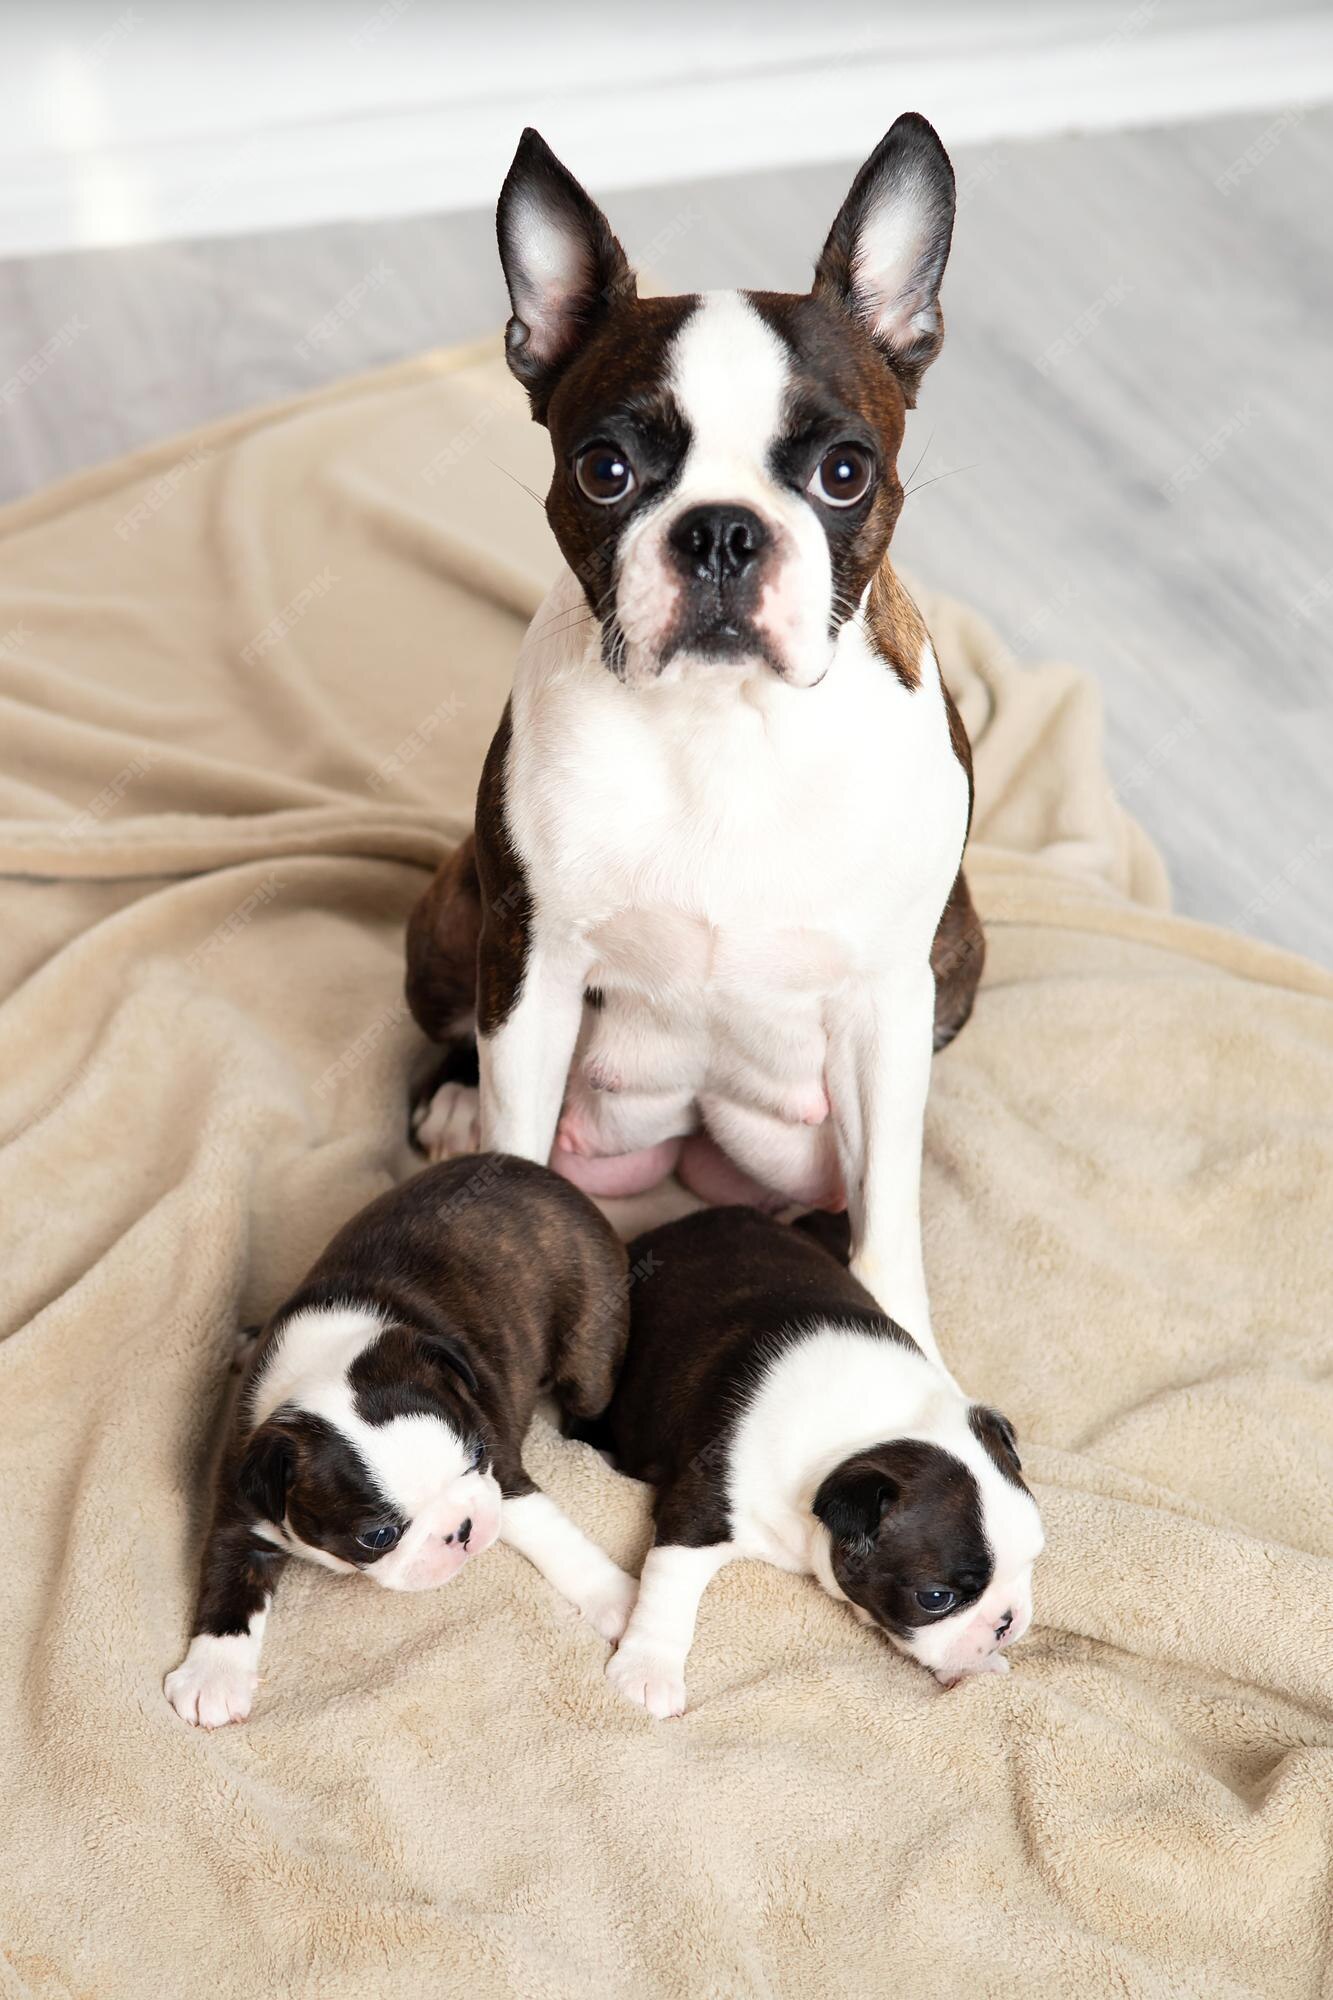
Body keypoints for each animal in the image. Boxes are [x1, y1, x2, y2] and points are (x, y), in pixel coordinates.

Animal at [165, 1152, 632, 1728]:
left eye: (479, 1454)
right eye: (378, 1536)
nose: (463, 1529)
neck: (318, 1371)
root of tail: (530, 1167)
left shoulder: (503, 1474)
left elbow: (558, 1541)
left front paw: (620, 1600)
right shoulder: (242, 1499)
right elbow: (229, 1582)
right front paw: (213, 1674)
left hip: (591, 1337)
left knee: (590, 1392)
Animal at [410, 113, 980, 1376]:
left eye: (844, 472)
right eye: (605, 469)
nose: (720, 531)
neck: (727, 726)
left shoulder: (888, 994)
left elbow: (890, 1211)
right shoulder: (532, 956)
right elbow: (518, 1133)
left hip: (957, 958)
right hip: (455, 912)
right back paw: (454, 1103)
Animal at [592, 1200, 1040, 1720]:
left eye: (1033, 1559)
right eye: (935, 1599)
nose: (1007, 1622)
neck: (873, 1428)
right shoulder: (700, 1508)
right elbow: (669, 1590)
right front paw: (647, 1672)